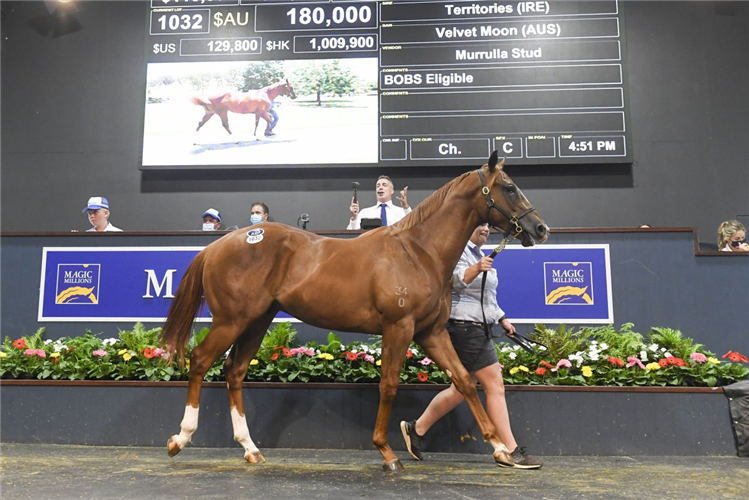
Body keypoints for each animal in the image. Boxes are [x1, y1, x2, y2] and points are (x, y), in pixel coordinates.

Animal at [159, 151, 544, 468]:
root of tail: (219, 245)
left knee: (234, 372)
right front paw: (387, 453)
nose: (539, 228)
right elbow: (389, 385)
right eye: (509, 188)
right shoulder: (399, 328)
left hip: (256, 322)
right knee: (200, 361)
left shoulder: (430, 333)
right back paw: (180, 439)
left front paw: (500, 449)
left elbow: (464, 381)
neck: (418, 252)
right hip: (231, 320)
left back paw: (250, 448)